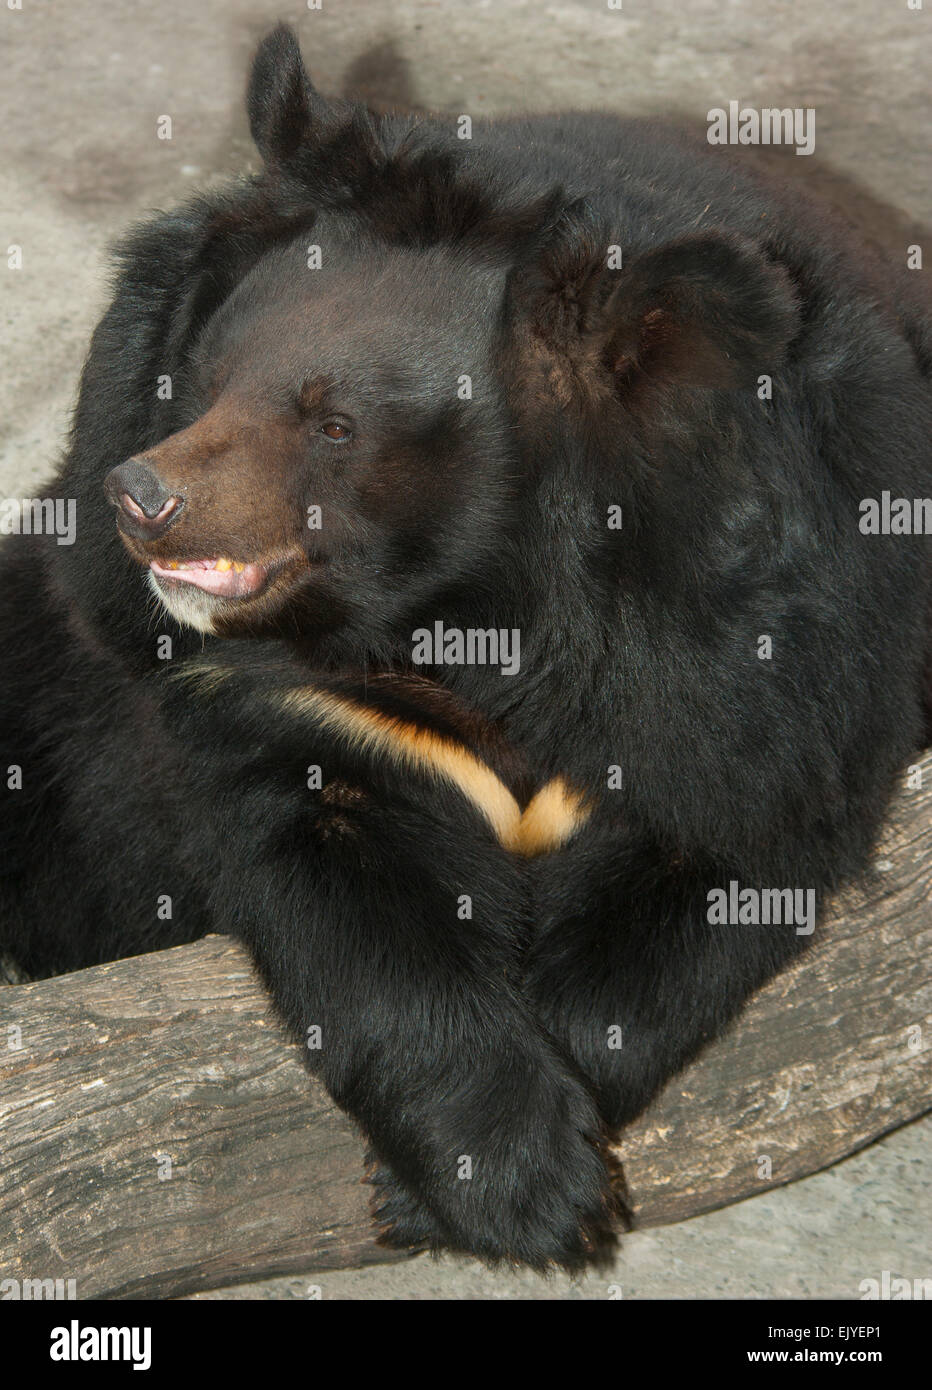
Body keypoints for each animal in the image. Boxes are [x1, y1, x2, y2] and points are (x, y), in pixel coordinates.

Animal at [1, 24, 932, 1273]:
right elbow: (333, 886)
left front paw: (495, 1180)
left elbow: (726, 852)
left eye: (333, 423)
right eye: (204, 377)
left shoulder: (781, 648)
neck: (470, 611)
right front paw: (511, 1176)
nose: (143, 500)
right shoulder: (281, 696)